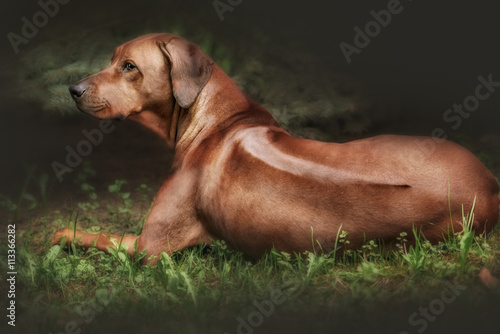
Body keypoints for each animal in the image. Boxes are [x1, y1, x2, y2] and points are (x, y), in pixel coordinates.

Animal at [51, 34, 500, 264]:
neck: (218, 116)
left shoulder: (149, 248)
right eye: (111, 59)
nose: (72, 89)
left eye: (129, 66)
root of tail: (489, 184)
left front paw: (60, 233)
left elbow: (89, 234)